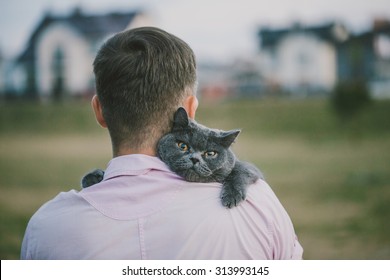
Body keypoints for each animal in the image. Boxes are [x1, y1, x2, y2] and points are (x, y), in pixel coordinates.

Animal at [83, 107, 264, 208]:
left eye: (210, 153)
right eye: (183, 146)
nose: (195, 159)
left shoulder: (250, 169)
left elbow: (240, 170)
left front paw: (232, 196)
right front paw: (93, 177)